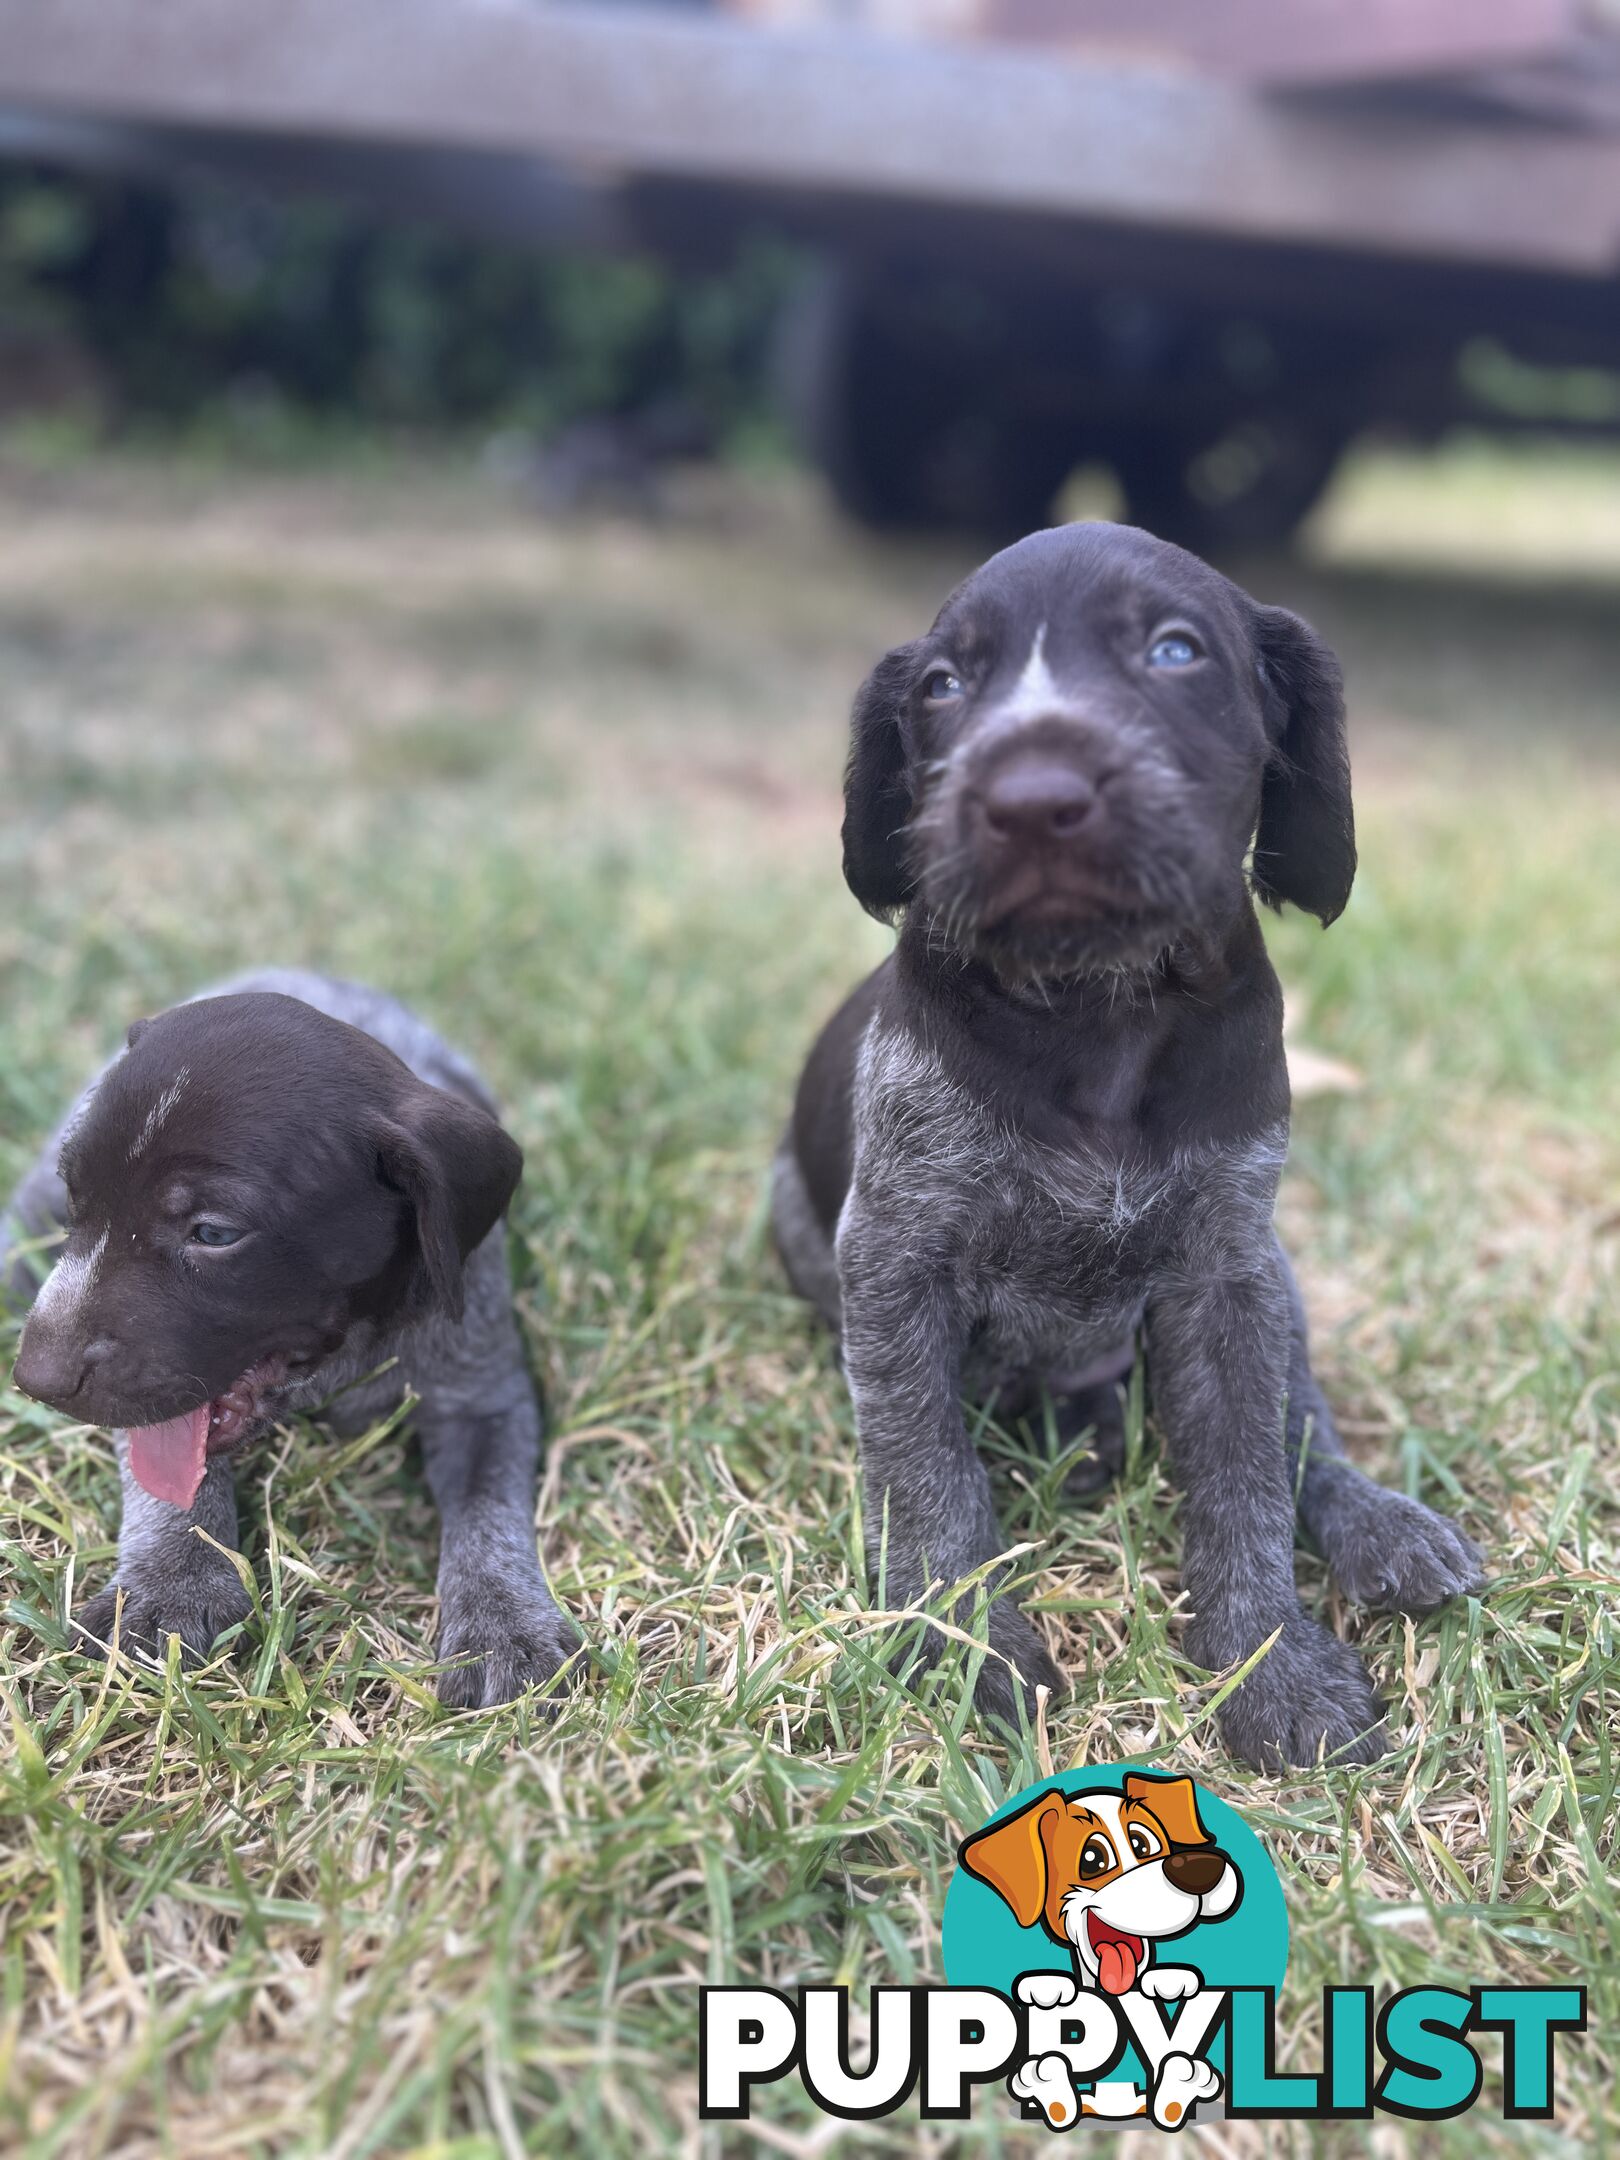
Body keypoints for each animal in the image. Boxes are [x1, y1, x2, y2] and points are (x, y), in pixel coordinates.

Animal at [0, 967, 583, 1702]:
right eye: (77, 1200)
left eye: (214, 1233)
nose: (36, 1380)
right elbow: (169, 1487)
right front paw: (172, 1586)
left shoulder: (486, 1397)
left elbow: (488, 1510)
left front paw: (502, 1626)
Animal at [773, 527, 1486, 1771]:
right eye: (942, 686)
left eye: (1175, 651)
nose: (1029, 800)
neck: (1095, 1003)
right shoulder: (894, 1261)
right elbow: (925, 1469)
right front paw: (962, 1641)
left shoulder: (1228, 1275)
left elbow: (1248, 1474)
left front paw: (1266, 1659)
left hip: (1277, 1275)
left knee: (1306, 1427)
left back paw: (1377, 1520)